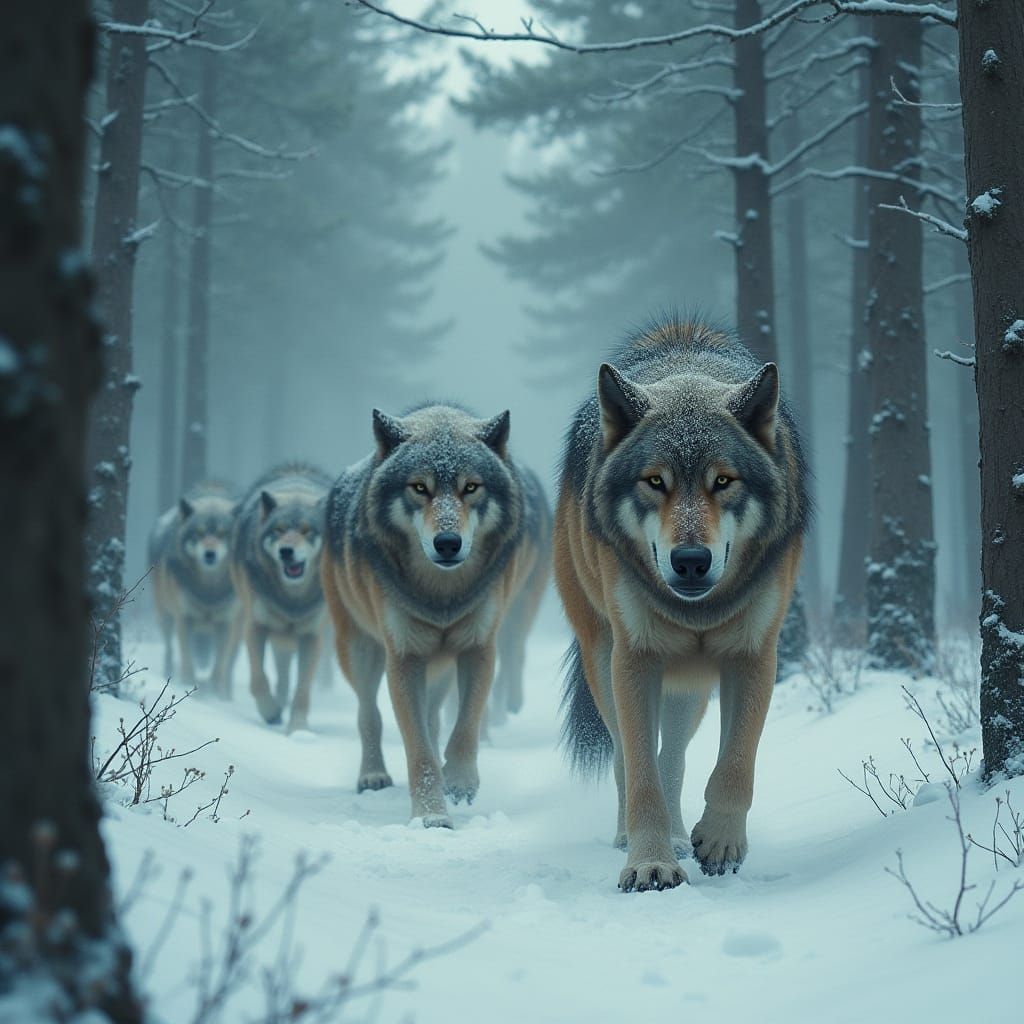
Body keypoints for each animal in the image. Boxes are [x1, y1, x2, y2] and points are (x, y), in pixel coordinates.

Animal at [149, 482, 241, 697]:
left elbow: (219, 663)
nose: (210, 554)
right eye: (199, 533)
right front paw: (187, 685)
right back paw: (168, 672)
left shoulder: (226, 623)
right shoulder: (185, 618)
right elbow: (188, 659)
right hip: (165, 616)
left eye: (223, 533)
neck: (209, 589)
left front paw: (216, 692)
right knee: (169, 648)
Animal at [230, 463, 331, 731]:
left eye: (307, 531)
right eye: (279, 530)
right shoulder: (255, 627)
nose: (287, 551)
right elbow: (258, 679)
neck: (292, 599)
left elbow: (303, 689)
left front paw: (298, 728)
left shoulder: (312, 637)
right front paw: (271, 712)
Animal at [321, 403, 548, 827]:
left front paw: (459, 782)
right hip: (359, 649)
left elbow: (466, 725)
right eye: (419, 488)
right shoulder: (404, 656)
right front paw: (432, 816)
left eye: (471, 487)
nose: (447, 543)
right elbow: (418, 750)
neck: (441, 594)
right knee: (369, 713)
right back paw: (372, 775)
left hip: (440, 663)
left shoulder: (478, 648)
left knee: (434, 717)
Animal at [556, 317, 808, 892]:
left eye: (723, 480)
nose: (691, 560)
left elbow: (736, 763)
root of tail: (678, 333)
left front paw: (720, 842)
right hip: (604, 658)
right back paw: (639, 839)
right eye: (655, 481)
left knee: (673, 757)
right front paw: (649, 864)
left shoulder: (754, 654)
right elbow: (640, 773)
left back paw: (679, 835)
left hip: (689, 686)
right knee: (630, 758)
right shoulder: (634, 659)